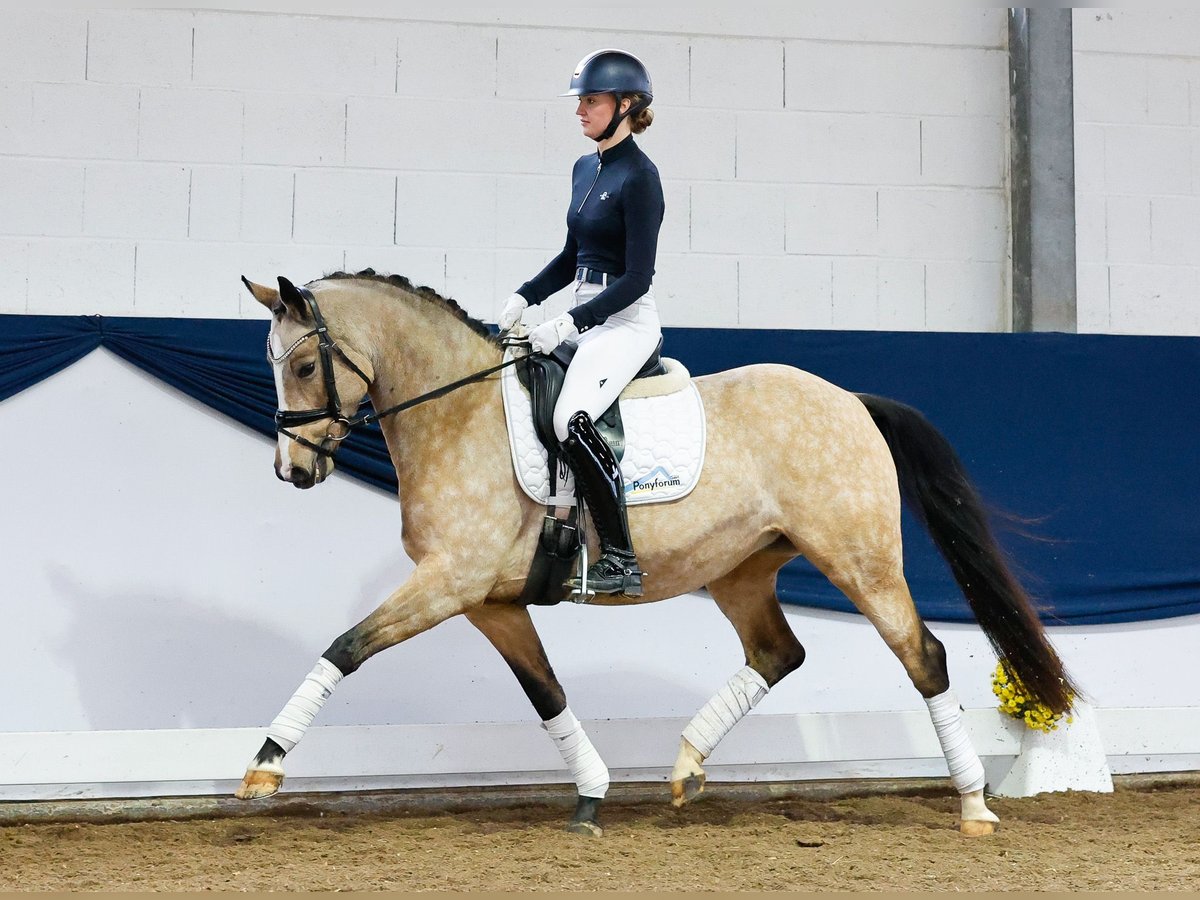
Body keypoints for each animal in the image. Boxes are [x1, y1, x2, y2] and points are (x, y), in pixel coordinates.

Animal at [234, 267, 1080, 840]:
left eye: (303, 365)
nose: (292, 471)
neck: (459, 410)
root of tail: (851, 400)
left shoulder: (449, 582)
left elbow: (346, 647)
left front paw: (265, 763)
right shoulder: (488, 601)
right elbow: (546, 693)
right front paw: (591, 796)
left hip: (859, 558)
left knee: (922, 655)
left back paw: (973, 806)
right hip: (742, 569)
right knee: (778, 652)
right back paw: (685, 766)